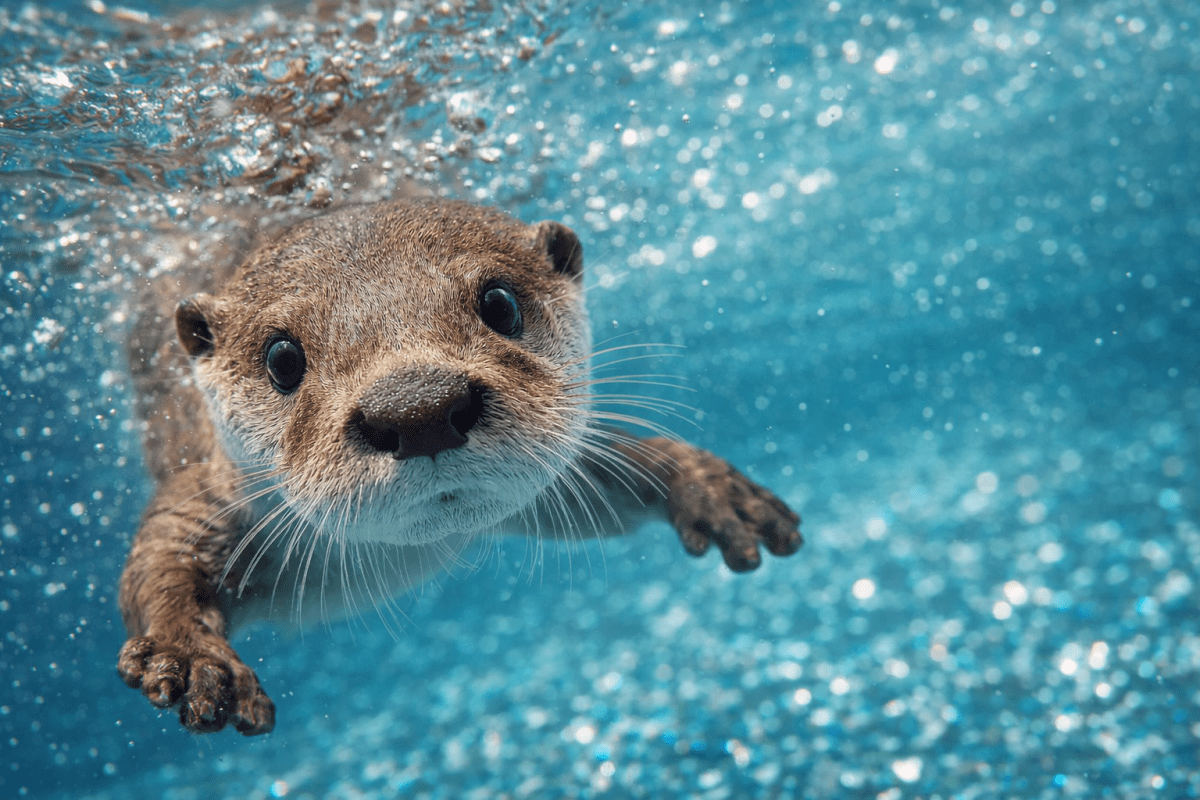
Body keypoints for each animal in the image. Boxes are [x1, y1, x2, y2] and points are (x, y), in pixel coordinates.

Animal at [116, 199, 801, 736]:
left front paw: (709, 489)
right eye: (281, 357)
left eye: (500, 302)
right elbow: (160, 559)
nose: (419, 409)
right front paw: (190, 654)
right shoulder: (212, 492)